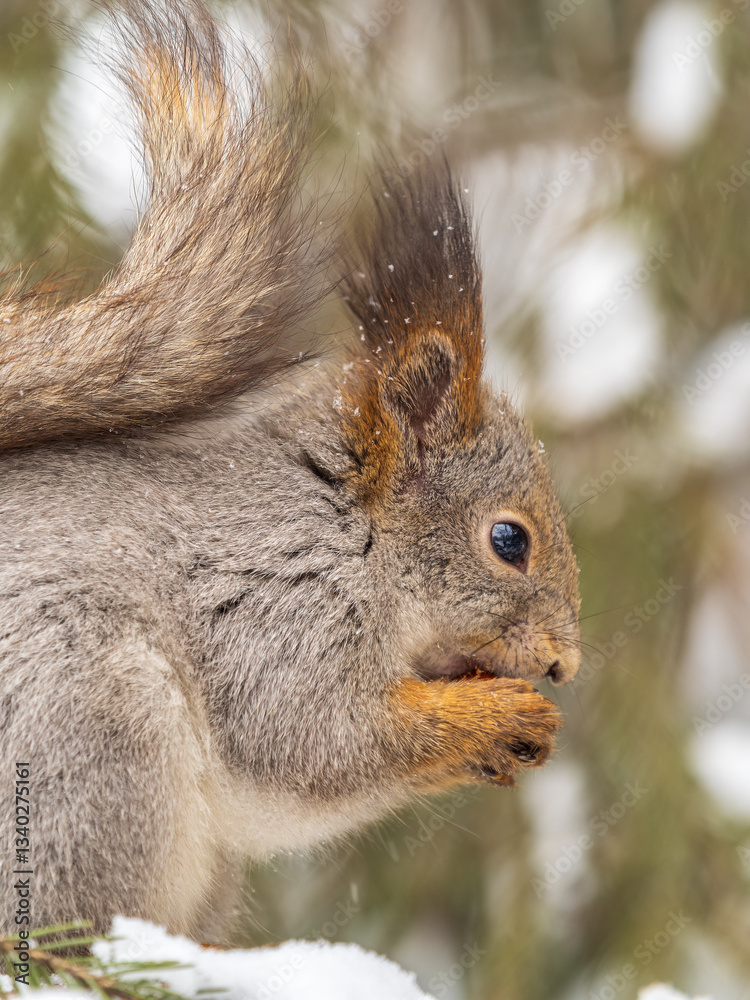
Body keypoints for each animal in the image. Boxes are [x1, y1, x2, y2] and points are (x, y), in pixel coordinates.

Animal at [0, 0, 581, 941]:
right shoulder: (275, 612)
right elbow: (317, 740)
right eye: (508, 541)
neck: (351, 530)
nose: (566, 664)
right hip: (92, 736)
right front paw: (493, 718)